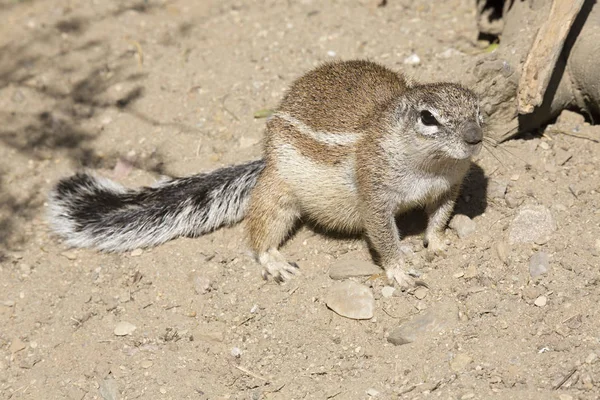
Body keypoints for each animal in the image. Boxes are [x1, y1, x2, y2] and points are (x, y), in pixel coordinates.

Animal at [49, 59, 486, 290]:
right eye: (428, 118)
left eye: (480, 110)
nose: (475, 137)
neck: (428, 166)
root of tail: (266, 161)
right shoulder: (373, 191)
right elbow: (382, 233)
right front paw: (399, 269)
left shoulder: (450, 184)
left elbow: (440, 214)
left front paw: (437, 241)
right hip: (279, 192)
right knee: (260, 229)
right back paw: (273, 258)